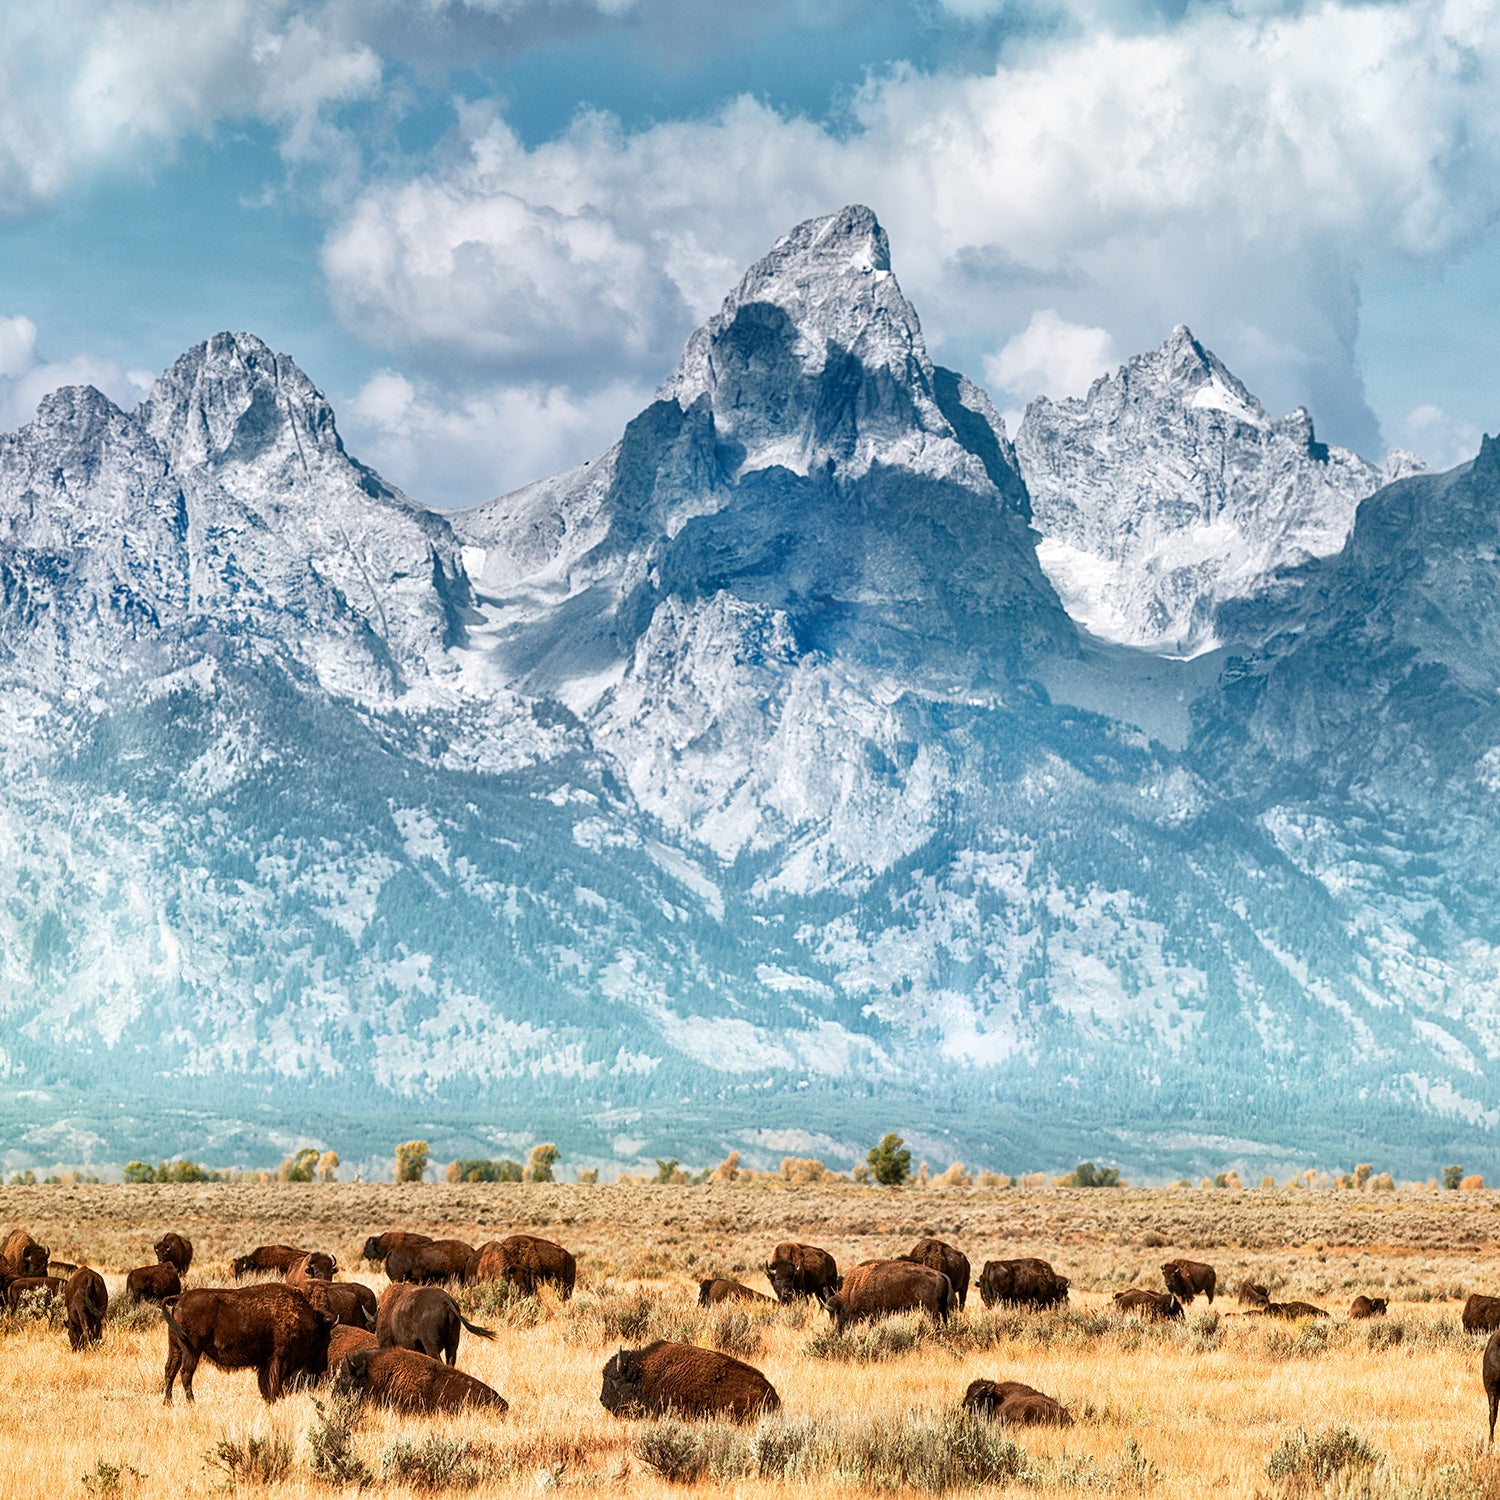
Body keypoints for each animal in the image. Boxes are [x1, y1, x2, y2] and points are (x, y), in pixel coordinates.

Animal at [162, 1278, 336, 1404]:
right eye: (324, 1338)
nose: (323, 1366)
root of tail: (180, 1297)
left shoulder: (266, 1361)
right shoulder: (279, 1358)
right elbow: (274, 1381)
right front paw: (275, 1398)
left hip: (176, 1348)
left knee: (170, 1370)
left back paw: (168, 1403)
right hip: (192, 1349)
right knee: (186, 1373)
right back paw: (192, 1402)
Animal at [816, 1260, 954, 1332]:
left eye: (838, 1312)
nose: (838, 1330)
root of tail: (942, 1275)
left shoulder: (874, 1313)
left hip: (932, 1310)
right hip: (943, 1310)